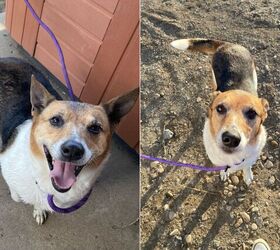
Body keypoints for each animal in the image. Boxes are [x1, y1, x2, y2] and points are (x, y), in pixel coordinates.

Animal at [0, 57, 139, 225]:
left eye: (95, 128)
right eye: (55, 120)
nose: (72, 150)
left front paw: (38, 209)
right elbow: (16, 193)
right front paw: (19, 197)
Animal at [171, 37, 270, 186]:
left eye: (252, 113)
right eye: (220, 108)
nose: (231, 139)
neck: (233, 159)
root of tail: (227, 44)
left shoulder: (251, 158)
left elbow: (247, 166)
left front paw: (247, 175)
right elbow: (223, 168)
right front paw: (224, 173)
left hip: (254, 75)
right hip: (213, 76)